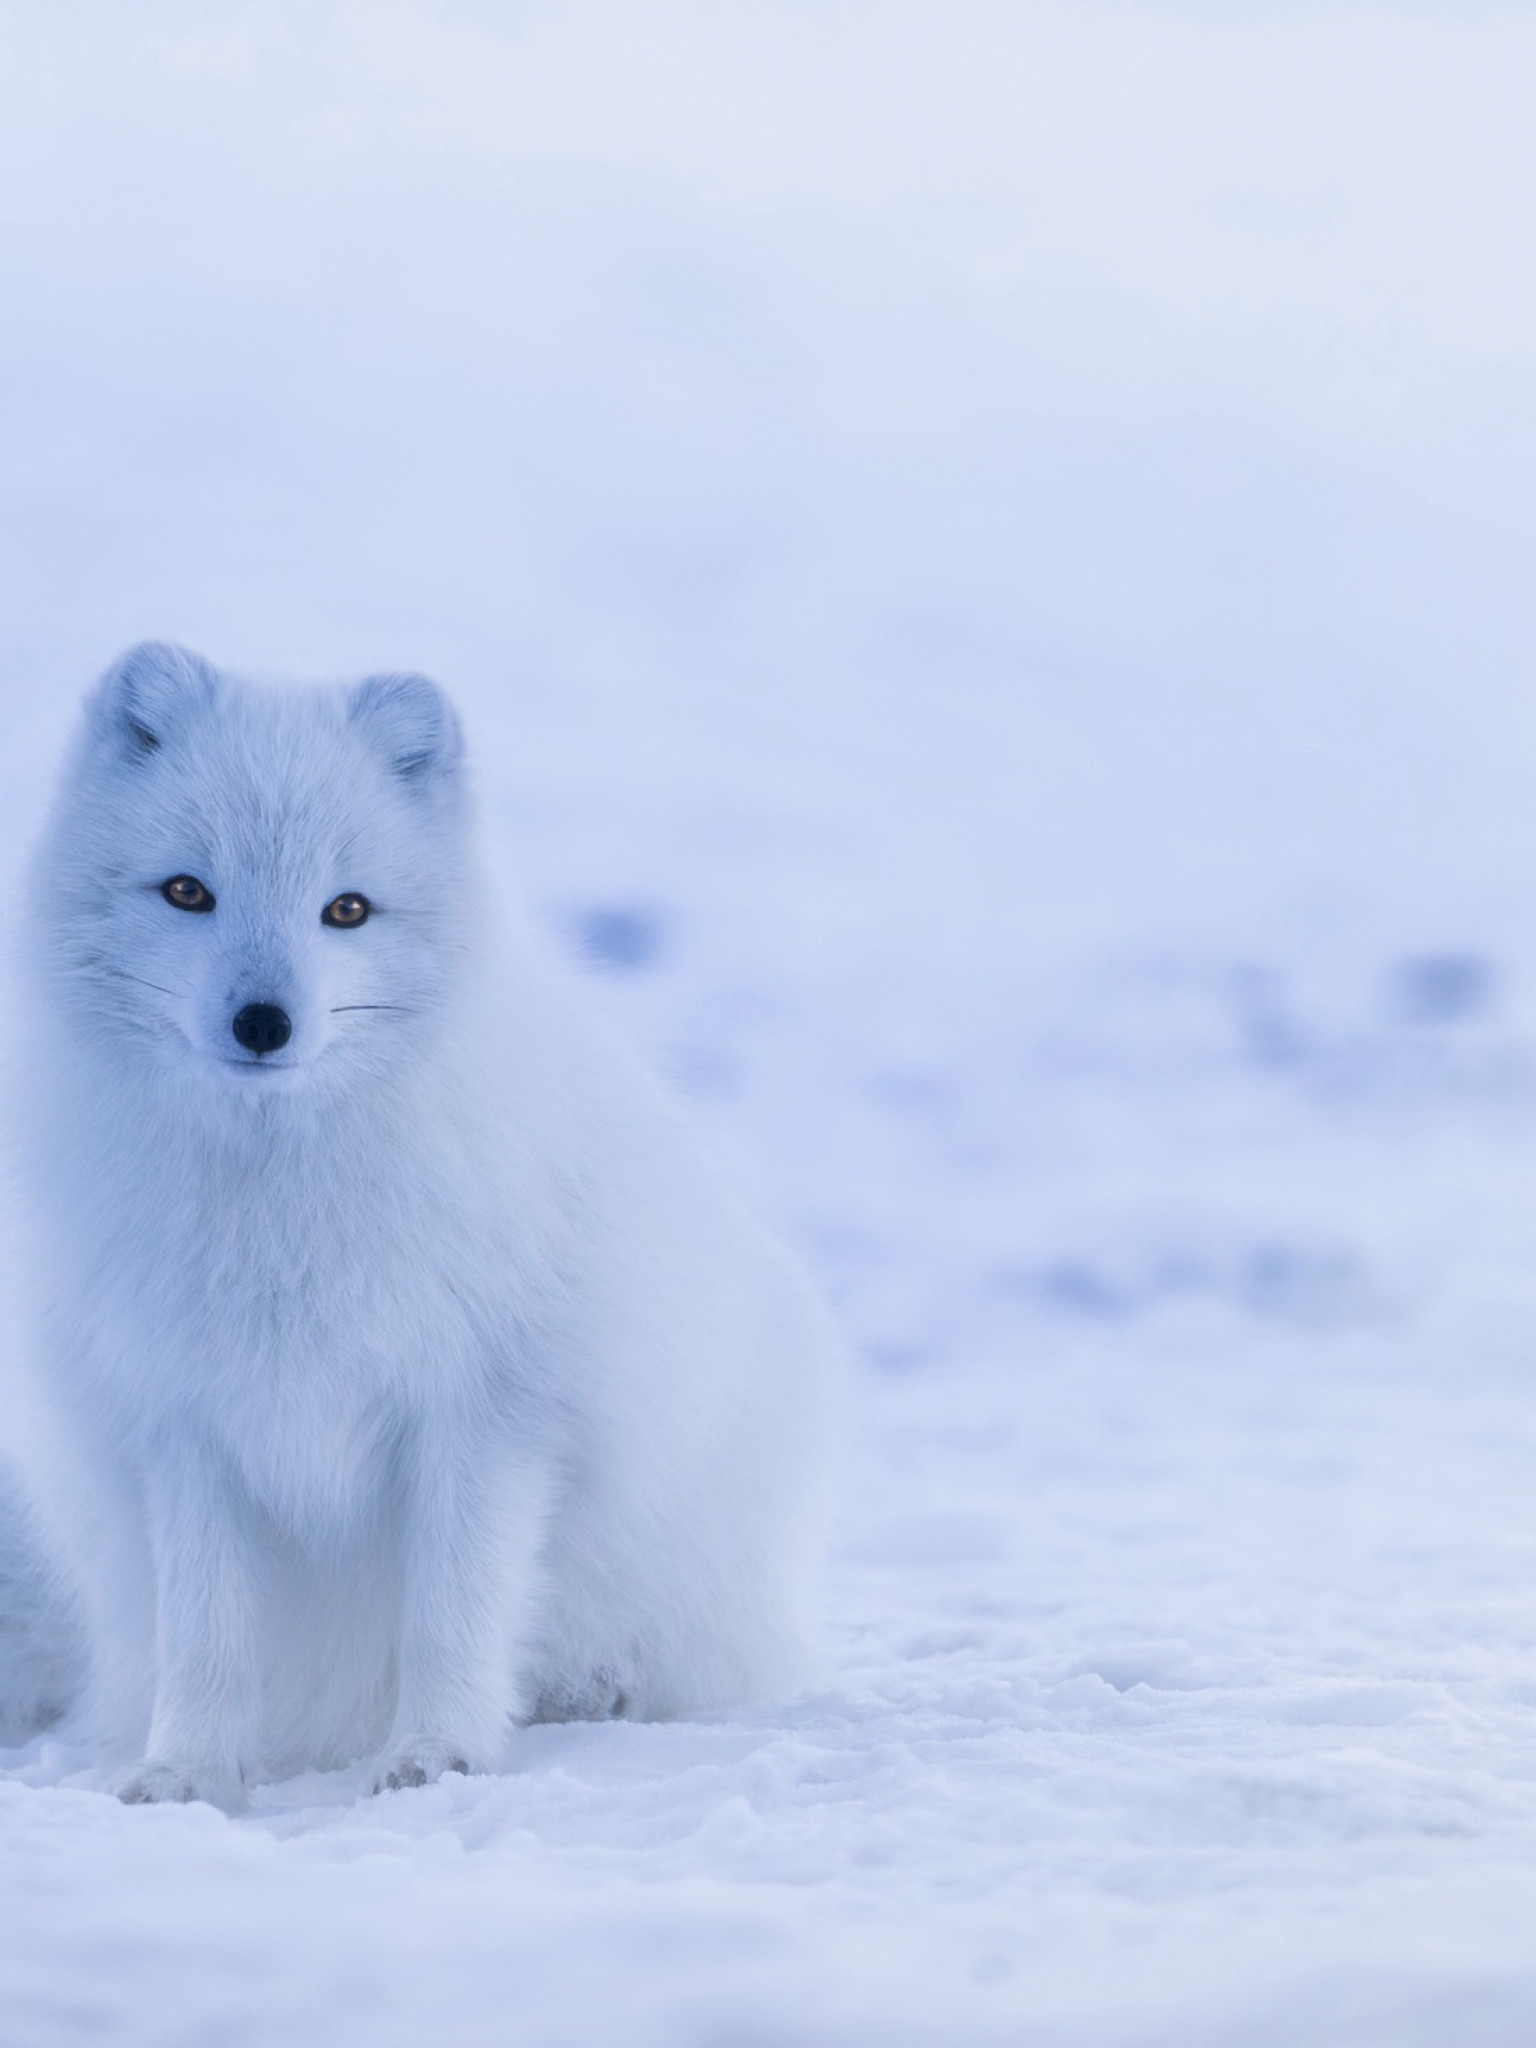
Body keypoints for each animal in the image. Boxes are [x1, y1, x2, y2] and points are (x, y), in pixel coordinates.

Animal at [9, 638, 831, 1810]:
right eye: (187, 891)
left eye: (347, 910)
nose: (265, 1022)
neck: (281, 1203)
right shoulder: (187, 1423)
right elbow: (207, 1633)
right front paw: (188, 1770)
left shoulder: (485, 1412)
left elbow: (454, 1609)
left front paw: (440, 1753)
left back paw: (592, 1692)